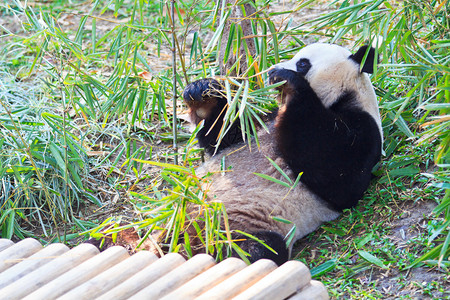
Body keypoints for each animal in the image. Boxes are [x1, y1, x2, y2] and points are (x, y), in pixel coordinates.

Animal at [183, 42, 384, 264]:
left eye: (302, 63)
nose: (271, 71)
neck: (340, 98)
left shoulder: (364, 130)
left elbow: (342, 180)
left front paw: (289, 81)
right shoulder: (266, 121)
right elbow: (226, 135)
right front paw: (202, 91)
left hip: (246, 223)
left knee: (257, 249)